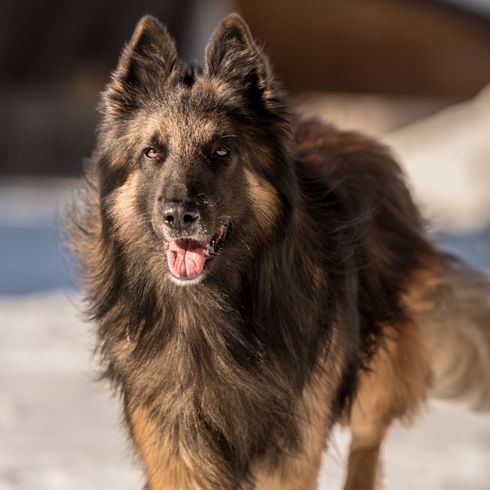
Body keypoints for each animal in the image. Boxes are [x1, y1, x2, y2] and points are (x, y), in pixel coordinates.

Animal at [66, 13, 490, 488]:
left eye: (221, 151)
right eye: (152, 152)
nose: (178, 215)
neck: (208, 317)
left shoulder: (292, 439)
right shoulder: (176, 443)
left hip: (379, 366)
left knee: (368, 438)